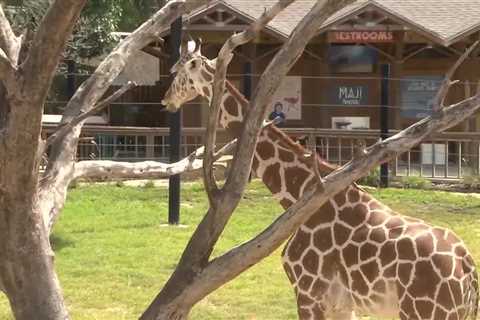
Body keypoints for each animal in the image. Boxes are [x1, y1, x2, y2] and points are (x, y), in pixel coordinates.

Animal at [162, 40, 480, 320]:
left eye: (178, 72)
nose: (166, 100)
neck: (297, 192)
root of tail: (468, 272)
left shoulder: (308, 291)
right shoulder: (341, 303)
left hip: (424, 311)